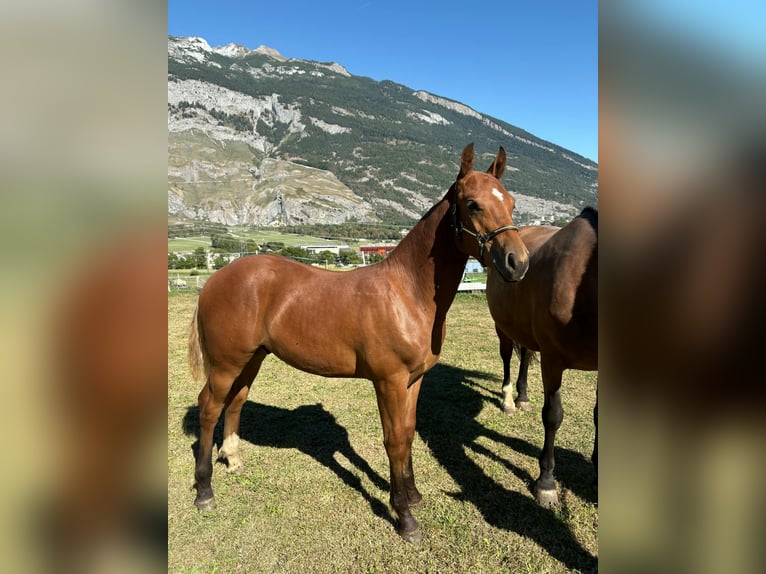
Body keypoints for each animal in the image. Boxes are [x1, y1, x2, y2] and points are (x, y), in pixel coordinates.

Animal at [187, 143, 529, 542]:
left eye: (512, 202)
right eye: (473, 204)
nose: (518, 263)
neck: (406, 291)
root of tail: (214, 280)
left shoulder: (413, 381)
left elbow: (408, 433)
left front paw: (412, 496)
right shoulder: (389, 382)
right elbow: (394, 440)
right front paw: (404, 517)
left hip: (252, 359)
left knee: (236, 401)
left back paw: (233, 460)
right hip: (226, 363)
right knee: (209, 407)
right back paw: (205, 492)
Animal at [486, 207, 597, 507]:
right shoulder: (552, 361)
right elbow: (552, 416)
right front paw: (545, 483)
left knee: (524, 355)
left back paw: (523, 397)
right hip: (502, 327)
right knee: (507, 358)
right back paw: (509, 400)